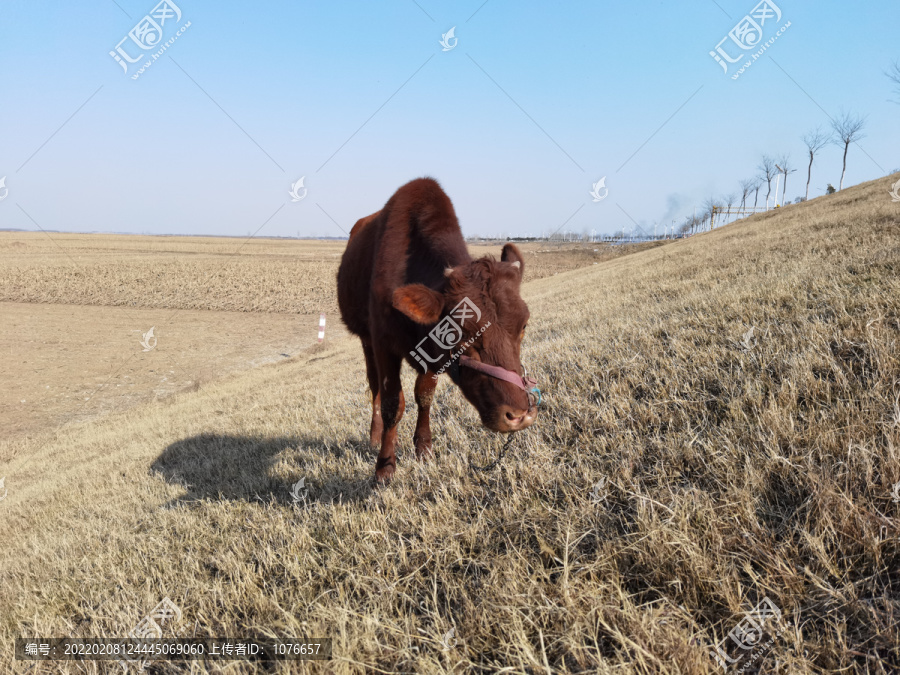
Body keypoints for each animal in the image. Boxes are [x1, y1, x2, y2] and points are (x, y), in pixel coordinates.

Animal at [336, 177, 536, 484]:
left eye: (523, 325)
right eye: (459, 331)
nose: (518, 415)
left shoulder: (433, 357)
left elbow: (424, 397)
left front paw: (424, 449)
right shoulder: (383, 344)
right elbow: (393, 403)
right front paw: (385, 467)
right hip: (365, 340)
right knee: (374, 386)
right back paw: (375, 436)